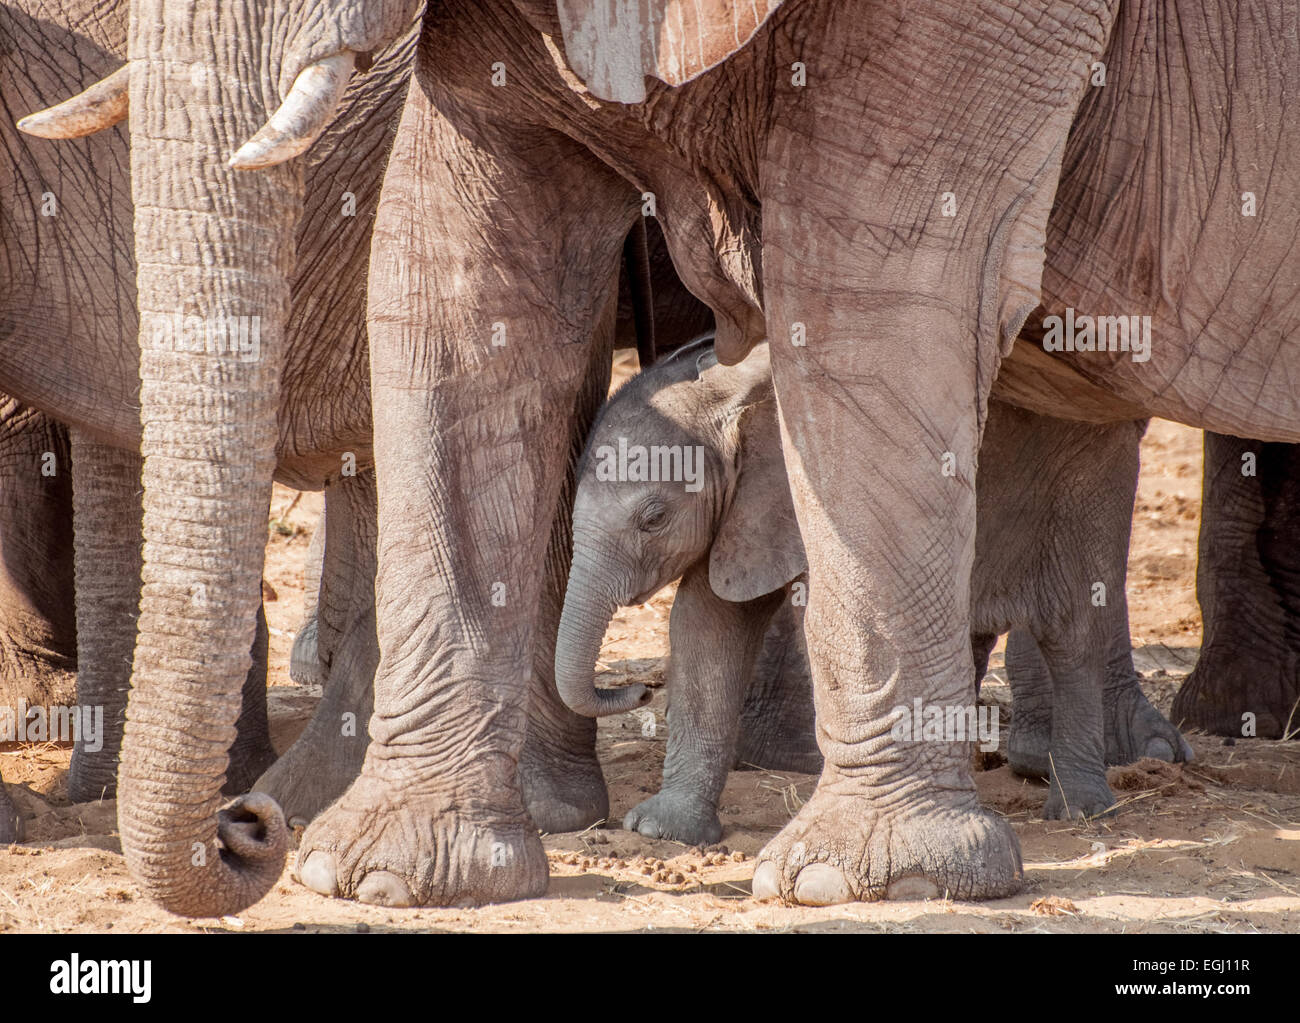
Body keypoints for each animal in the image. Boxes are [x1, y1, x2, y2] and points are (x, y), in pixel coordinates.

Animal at [559, 340, 1190, 842]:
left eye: (654, 518)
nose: (637, 689)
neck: (722, 387)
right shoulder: (741, 511)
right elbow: (707, 624)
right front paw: (662, 831)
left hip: (1090, 482)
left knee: (1071, 629)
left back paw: (1081, 811)